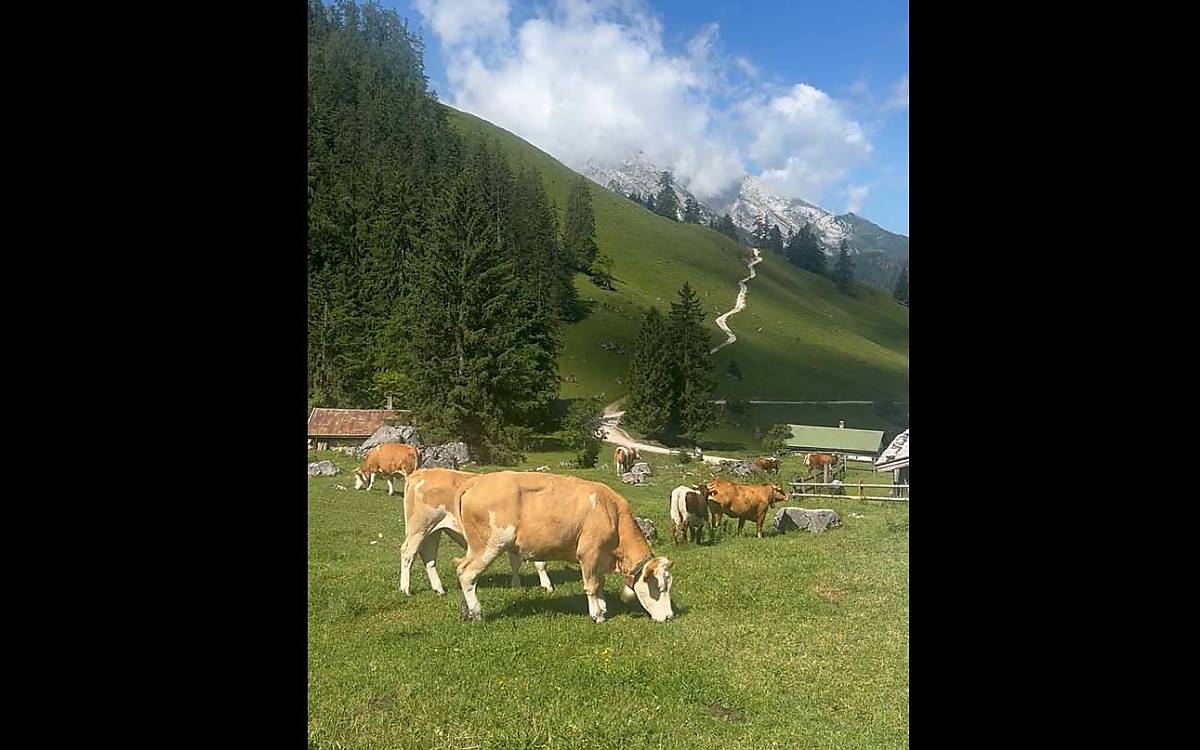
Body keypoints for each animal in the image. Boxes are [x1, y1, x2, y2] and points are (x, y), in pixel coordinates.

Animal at [398, 467, 551, 596]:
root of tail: (421, 472)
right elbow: (540, 563)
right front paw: (547, 586)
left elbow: (515, 561)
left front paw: (516, 585)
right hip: (419, 527)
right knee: (408, 552)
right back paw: (405, 589)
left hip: (433, 530)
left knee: (428, 556)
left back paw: (439, 589)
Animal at [452, 471, 674, 623]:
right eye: (659, 588)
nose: (670, 616)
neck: (611, 511)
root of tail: (478, 481)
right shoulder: (589, 552)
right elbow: (592, 585)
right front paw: (597, 615)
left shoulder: (600, 557)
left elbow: (600, 582)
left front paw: (603, 607)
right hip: (488, 545)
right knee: (467, 574)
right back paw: (477, 612)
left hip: (476, 547)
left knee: (461, 568)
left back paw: (467, 610)